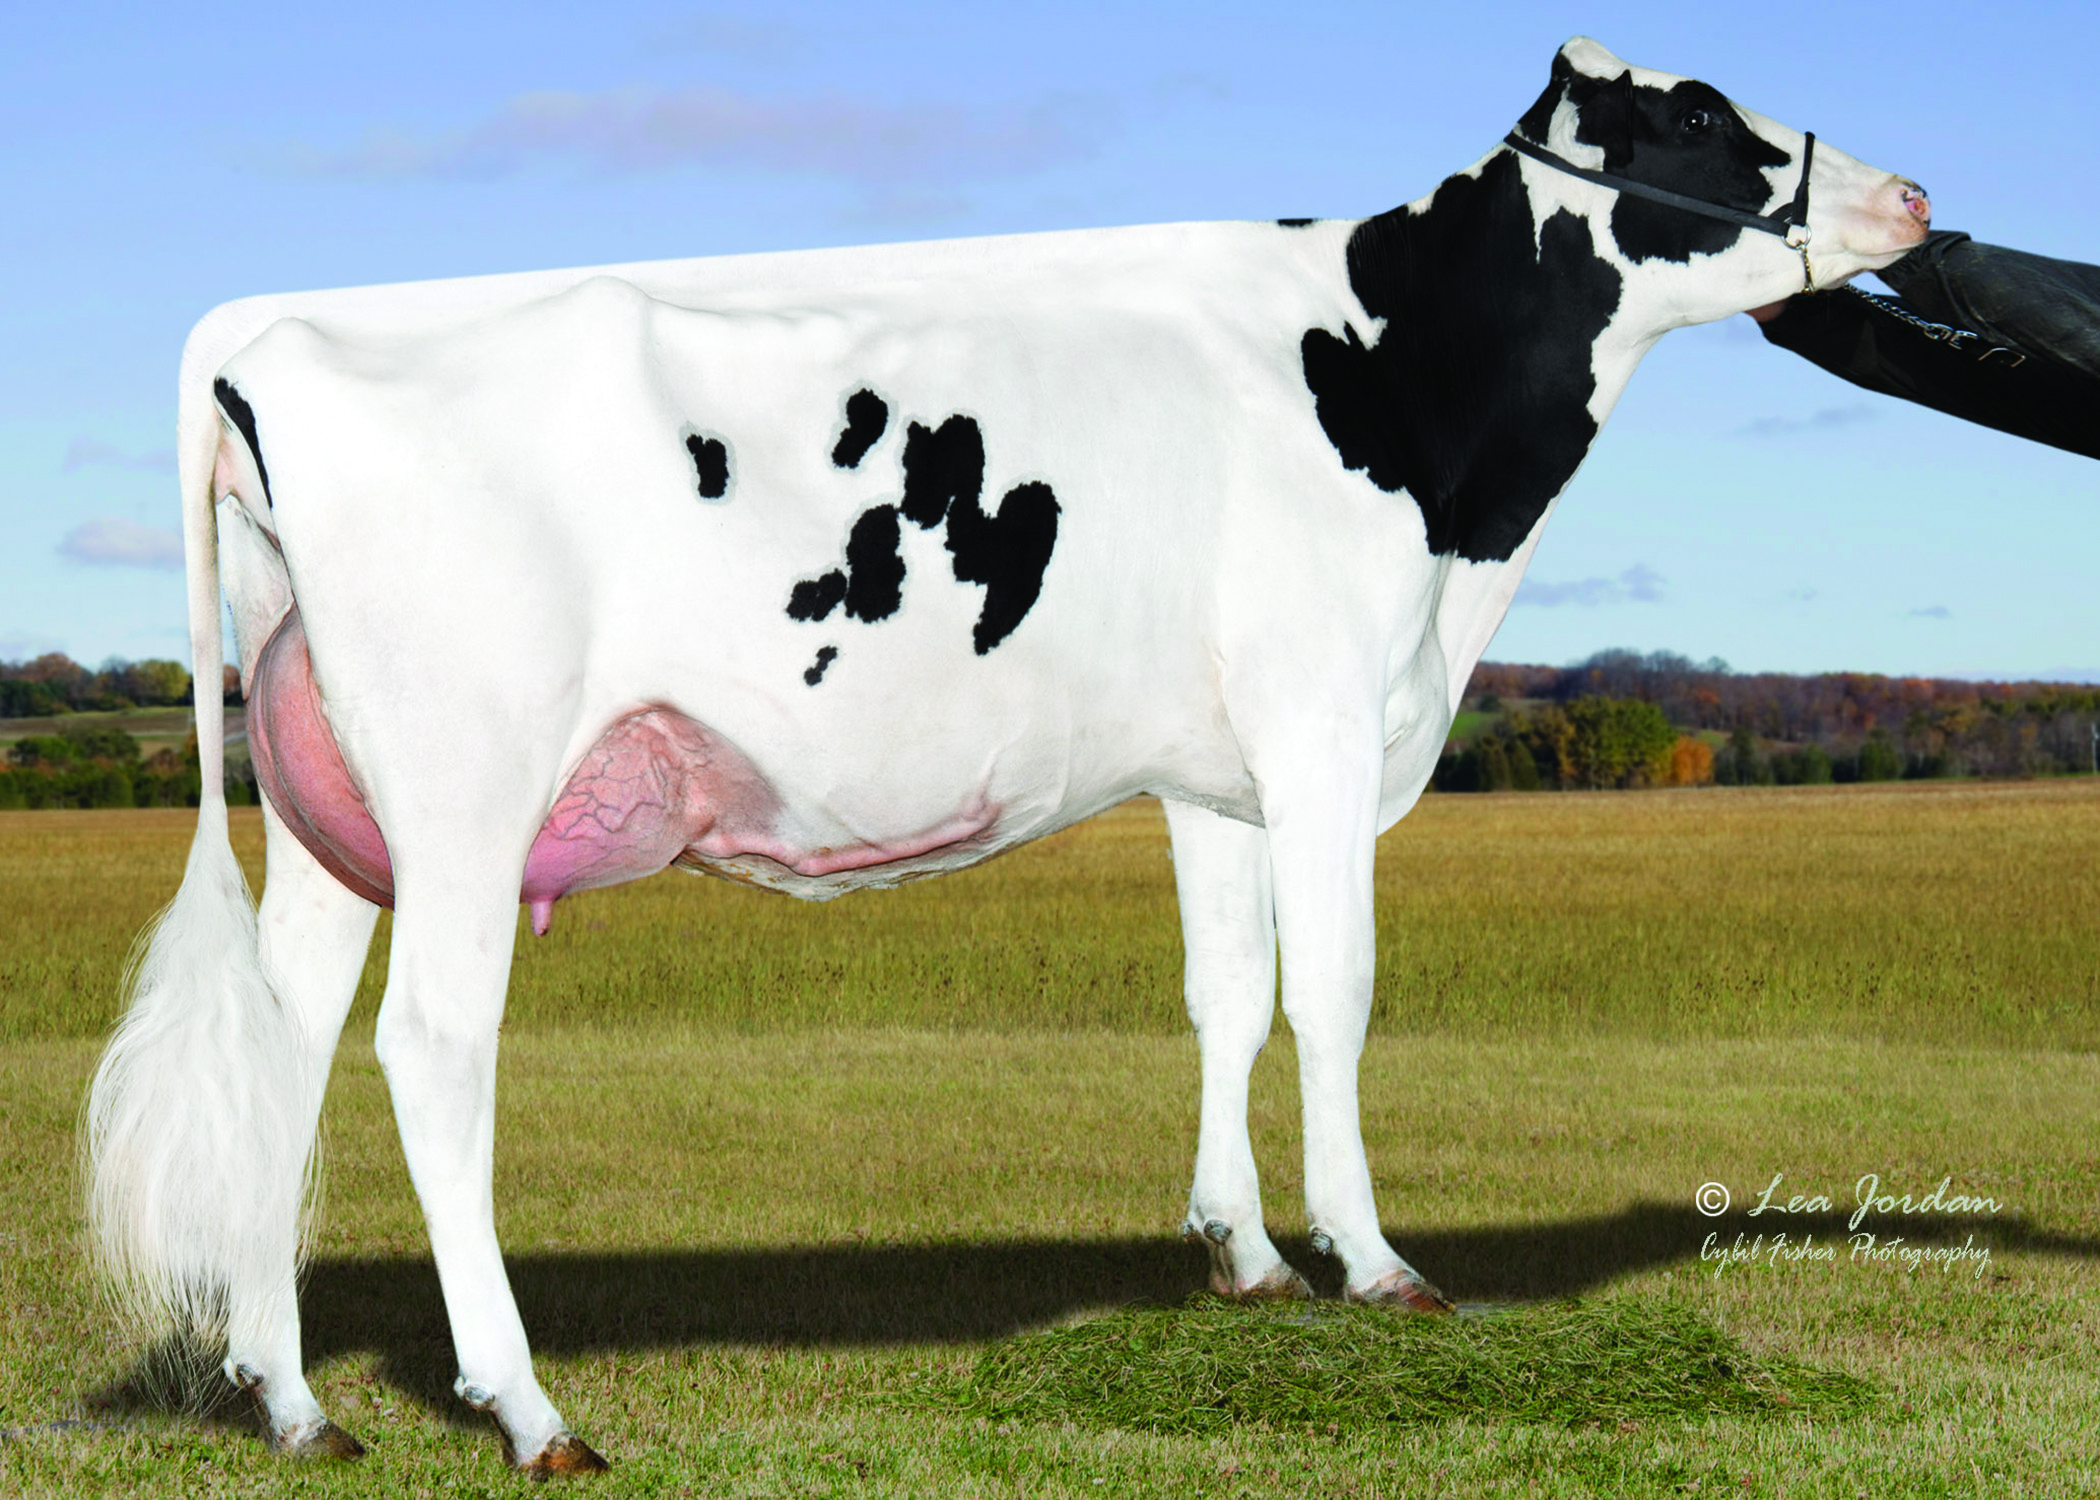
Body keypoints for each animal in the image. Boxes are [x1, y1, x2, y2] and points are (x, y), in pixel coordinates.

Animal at [83, 38, 1930, 1473]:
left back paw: (296, 1402)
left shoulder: (1213, 768)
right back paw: (531, 1410)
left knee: (291, 1035)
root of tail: (269, 329)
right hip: (470, 788)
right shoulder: (1326, 722)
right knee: (430, 1050)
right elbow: (1333, 994)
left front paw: (1245, 1253)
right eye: (1702, 115)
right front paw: (1374, 1260)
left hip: (332, 806)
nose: (1912, 199)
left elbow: (1227, 992)